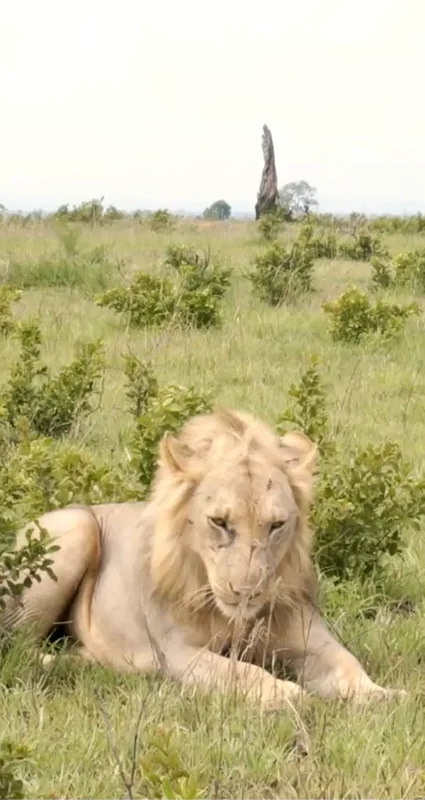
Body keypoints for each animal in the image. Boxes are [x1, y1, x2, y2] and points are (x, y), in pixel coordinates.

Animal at [1, 408, 405, 710]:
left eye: (276, 525)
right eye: (219, 522)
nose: (246, 592)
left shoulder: (311, 638)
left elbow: (347, 663)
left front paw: (380, 695)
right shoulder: (178, 652)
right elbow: (240, 671)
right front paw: (286, 692)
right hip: (78, 527)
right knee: (21, 648)